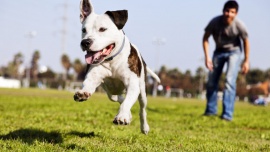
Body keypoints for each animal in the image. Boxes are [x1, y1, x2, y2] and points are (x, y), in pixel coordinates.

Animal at [73, 0, 159, 134]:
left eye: (102, 29)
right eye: (84, 30)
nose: (85, 42)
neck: (111, 60)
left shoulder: (133, 85)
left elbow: (128, 102)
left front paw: (122, 116)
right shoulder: (94, 76)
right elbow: (88, 84)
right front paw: (83, 93)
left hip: (142, 91)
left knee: (142, 109)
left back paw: (144, 127)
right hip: (111, 93)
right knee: (119, 98)